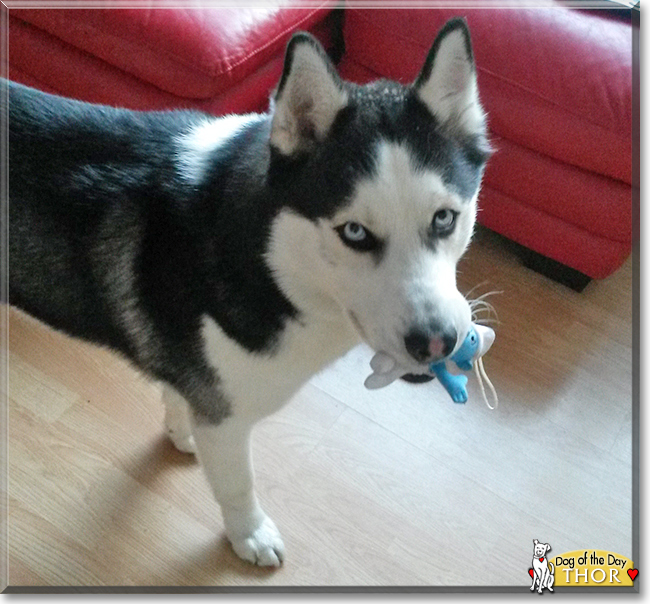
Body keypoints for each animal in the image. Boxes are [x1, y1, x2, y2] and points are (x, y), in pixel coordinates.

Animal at [8, 18, 486, 568]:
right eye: (355, 233)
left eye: (444, 218)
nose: (437, 341)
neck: (269, 262)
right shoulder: (228, 421)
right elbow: (238, 484)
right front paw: (249, 535)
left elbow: (178, 394)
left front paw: (179, 428)